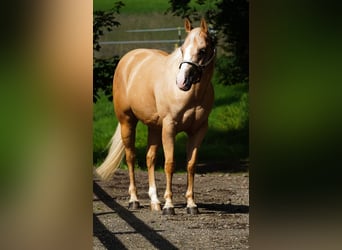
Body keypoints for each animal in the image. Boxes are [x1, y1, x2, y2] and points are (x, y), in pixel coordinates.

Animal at [95, 18, 214, 215]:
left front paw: (191, 204)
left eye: (203, 50)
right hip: (127, 121)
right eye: (182, 49)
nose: (182, 81)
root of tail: (129, 58)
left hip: (154, 127)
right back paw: (134, 200)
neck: (192, 95)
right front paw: (169, 206)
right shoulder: (169, 128)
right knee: (131, 157)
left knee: (150, 158)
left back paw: (155, 201)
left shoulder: (198, 130)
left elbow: (191, 164)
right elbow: (170, 164)